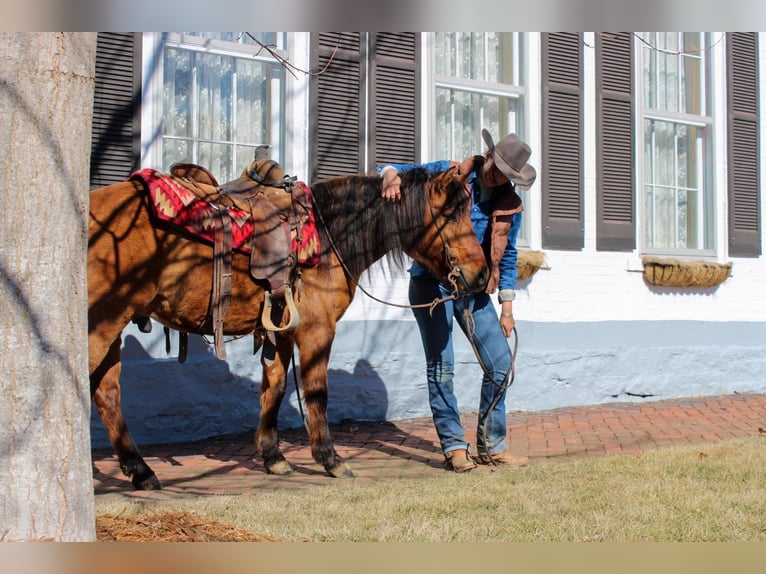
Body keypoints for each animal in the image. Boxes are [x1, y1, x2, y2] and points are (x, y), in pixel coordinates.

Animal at [88, 159, 486, 490]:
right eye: (451, 215)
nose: (482, 275)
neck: (329, 235)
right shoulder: (317, 330)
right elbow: (317, 393)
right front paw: (330, 459)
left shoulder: (281, 331)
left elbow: (275, 388)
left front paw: (273, 456)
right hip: (102, 323)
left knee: (106, 393)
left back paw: (140, 470)